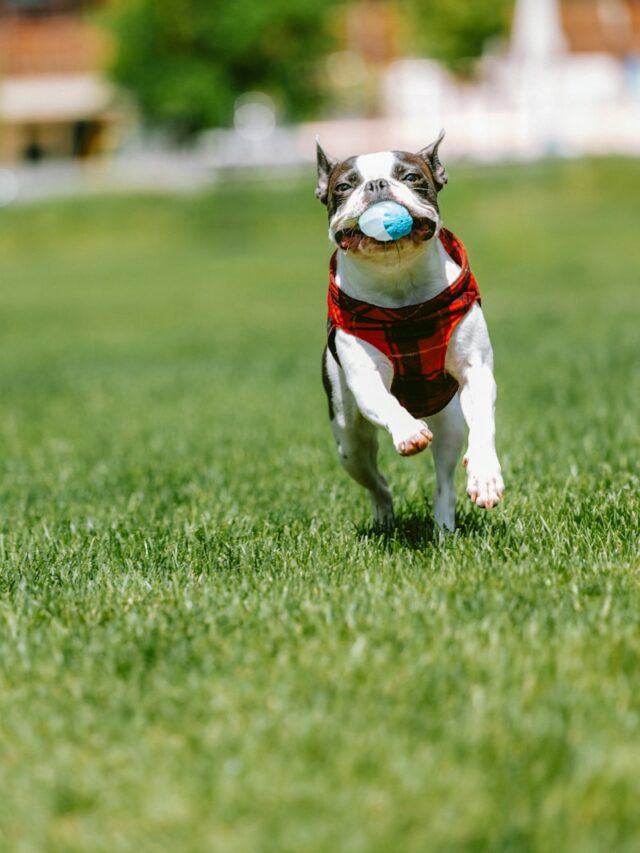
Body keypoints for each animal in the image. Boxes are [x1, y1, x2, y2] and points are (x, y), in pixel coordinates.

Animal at [318, 131, 502, 532]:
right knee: (377, 482)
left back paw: (444, 526)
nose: (376, 184)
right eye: (344, 186)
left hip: (449, 421)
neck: (399, 282)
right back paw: (386, 517)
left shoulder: (476, 370)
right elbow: (384, 399)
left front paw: (485, 475)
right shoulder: (364, 375)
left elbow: (483, 420)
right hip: (349, 441)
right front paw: (408, 430)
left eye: (413, 177)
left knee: (444, 477)